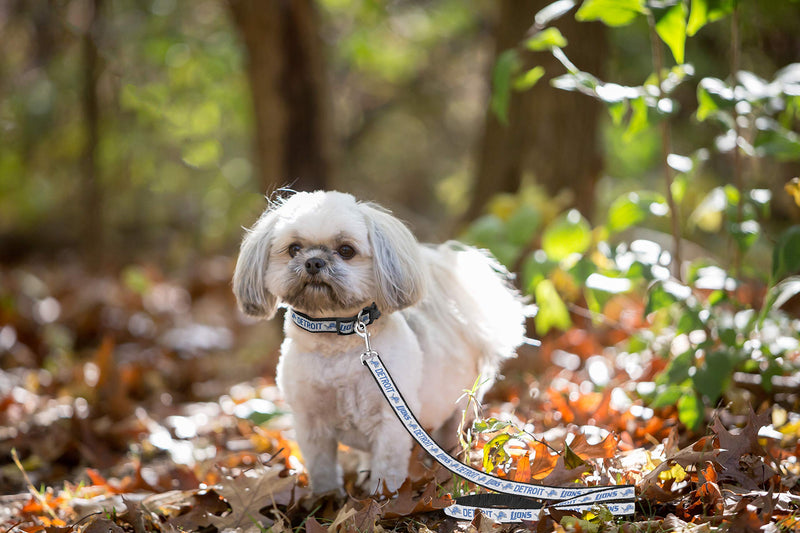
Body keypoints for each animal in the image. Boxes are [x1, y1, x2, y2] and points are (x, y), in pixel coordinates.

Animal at [231, 189, 524, 492]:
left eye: (346, 250)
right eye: (294, 249)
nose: (313, 262)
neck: (336, 340)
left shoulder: (391, 422)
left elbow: (387, 470)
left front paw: (382, 499)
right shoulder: (310, 423)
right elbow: (322, 469)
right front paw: (327, 497)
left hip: (459, 407)